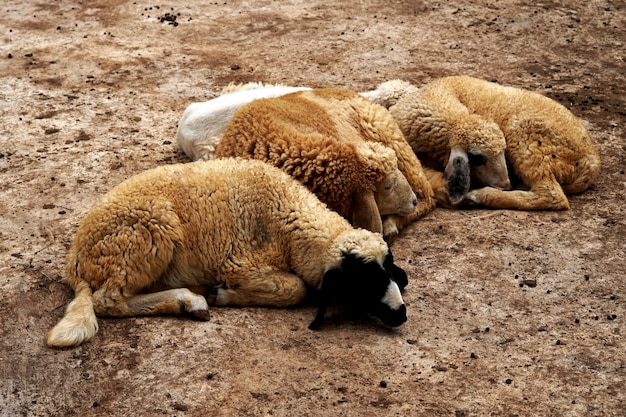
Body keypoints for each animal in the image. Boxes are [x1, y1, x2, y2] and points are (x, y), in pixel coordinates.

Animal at [46, 158, 408, 346]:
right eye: (361, 281)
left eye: (388, 271)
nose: (401, 314)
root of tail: (75, 259)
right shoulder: (240, 263)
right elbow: (296, 289)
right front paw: (225, 294)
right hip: (146, 233)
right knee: (108, 301)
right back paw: (191, 301)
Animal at [366, 75, 600, 210]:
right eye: (477, 158)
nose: (506, 184)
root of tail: (592, 163)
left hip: (528, 141)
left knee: (552, 195)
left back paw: (480, 196)